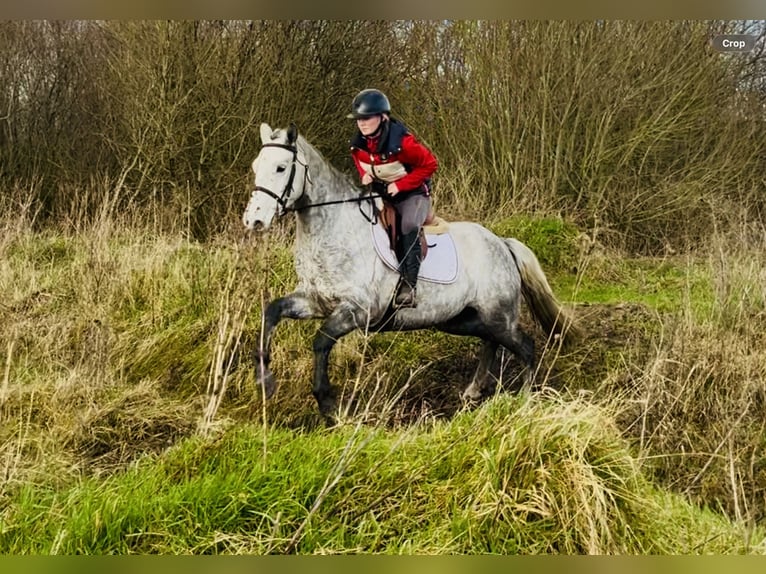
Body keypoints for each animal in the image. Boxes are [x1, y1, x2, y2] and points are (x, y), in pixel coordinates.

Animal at [243, 122, 580, 420]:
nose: (253, 220)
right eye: (256, 165)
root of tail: (501, 243)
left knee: (525, 346)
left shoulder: (358, 310)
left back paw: (525, 398)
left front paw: (327, 406)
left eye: (281, 168)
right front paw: (265, 381)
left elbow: (321, 341)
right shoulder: (315, 299)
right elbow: (272, 312)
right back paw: (473, 391)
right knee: (491, 342)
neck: (332, 228)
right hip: (461, 319)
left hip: (498, 315)